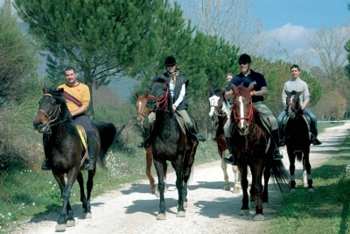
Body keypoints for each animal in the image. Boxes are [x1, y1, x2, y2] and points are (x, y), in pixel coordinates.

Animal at [32, 87, 116, 231]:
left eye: (53, 103)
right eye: (39, 102)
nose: (37, 123)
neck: (61, 141)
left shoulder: (72, 169)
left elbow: (67, 192)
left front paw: (62, 220)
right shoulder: (57, 171)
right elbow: (63, 192)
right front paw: (69, 217)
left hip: (90, 167)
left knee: (89, 184)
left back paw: (88, 209)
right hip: (78, 169)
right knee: (81, 182)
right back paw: (83, 204)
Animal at [146, 77, 198, 219]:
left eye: (164, 89)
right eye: (151, 87)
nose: (150, 103)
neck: (166, 131)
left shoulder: (178, 159)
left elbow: (179, 183)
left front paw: (180, 209)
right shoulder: (158, 160)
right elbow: (161, 184)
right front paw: (161, 212)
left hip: (189, 159)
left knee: (185, 177)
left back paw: (184, 201)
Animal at [228, 83, 288, 220]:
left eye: (249, 102)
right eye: (233, 103)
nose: (242, 127)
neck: (248, 137)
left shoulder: (258, 161)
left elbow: (258, 184)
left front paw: (259, 212)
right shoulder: (242, 161)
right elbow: (244, 183)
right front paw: (244, 207)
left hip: (268, 160)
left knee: (264, 177)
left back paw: (264, 199)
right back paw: (253, 197)